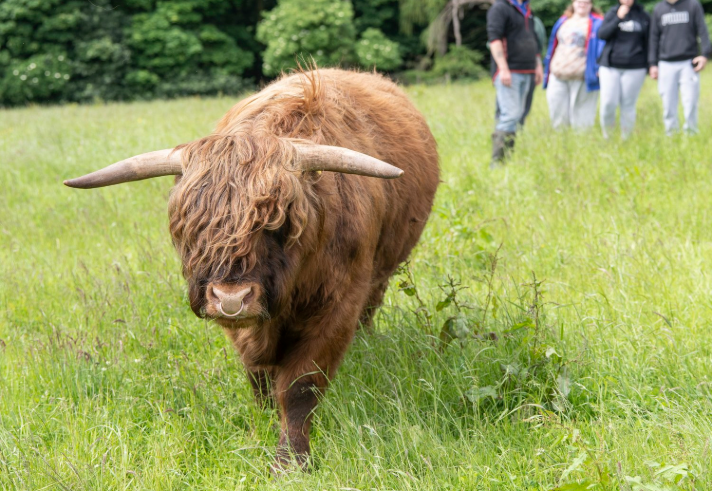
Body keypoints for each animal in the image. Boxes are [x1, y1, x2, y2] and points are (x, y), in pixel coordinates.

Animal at [64, 68, 439, 470]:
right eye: (189, 227)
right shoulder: (245, 328)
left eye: (279, 223)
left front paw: (290, 460)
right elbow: (259, 378)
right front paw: (263, 421)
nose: (231, 299)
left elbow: (300, 387)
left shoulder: (338, 305)